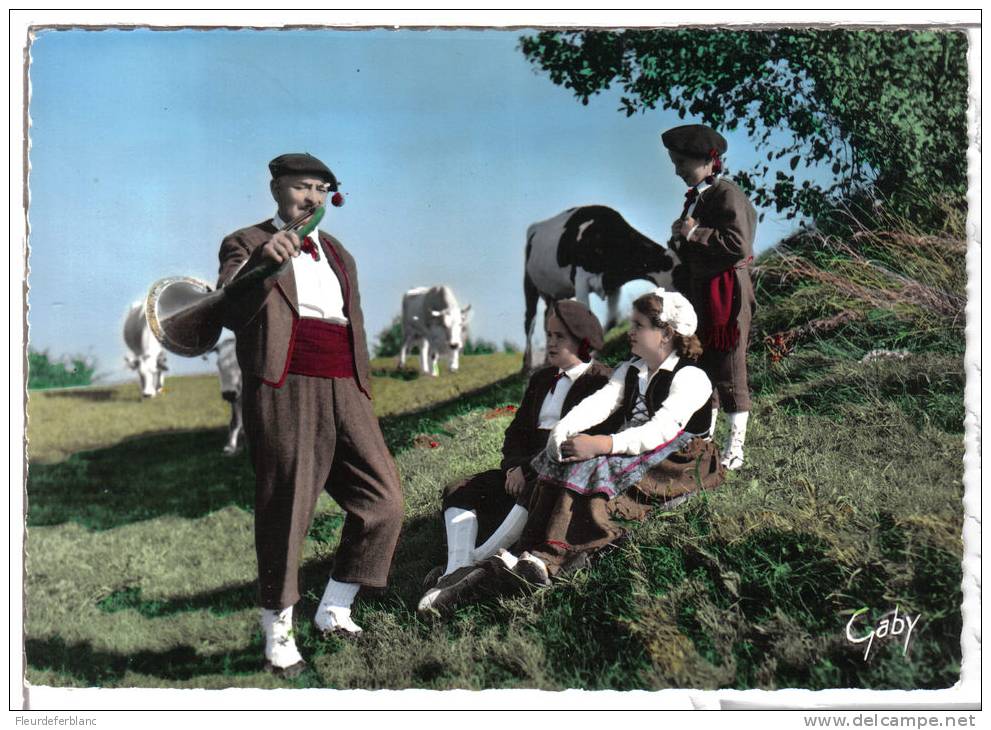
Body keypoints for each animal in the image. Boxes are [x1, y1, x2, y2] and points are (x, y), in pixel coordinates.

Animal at [524, 205, 680, 370]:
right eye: (680, 274)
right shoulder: (580, 279)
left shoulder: (613, 285)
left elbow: (612, 321)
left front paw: (596, 350)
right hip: (529, 284)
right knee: (530, 321)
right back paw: (527, 365)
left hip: (553, 294)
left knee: (548, 318)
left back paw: (547, 359)